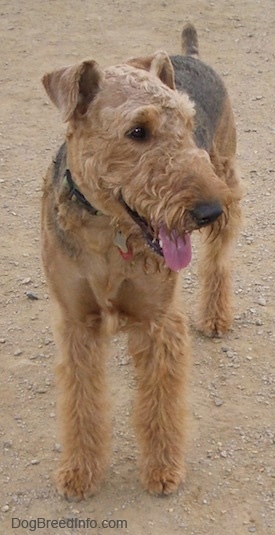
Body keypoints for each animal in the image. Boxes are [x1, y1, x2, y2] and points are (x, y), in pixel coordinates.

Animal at [41, 23, 242, 500]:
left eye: (187, 124)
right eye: (137, 131)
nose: (208, 211)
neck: (109, 232)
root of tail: (188, 55)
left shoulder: (159, 319)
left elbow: (161, 405)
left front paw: (163, 470)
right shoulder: (76, 322)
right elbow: (82, 405)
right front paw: (79, 472)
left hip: (229, 179)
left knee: (218, 264)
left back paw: (216, 316)